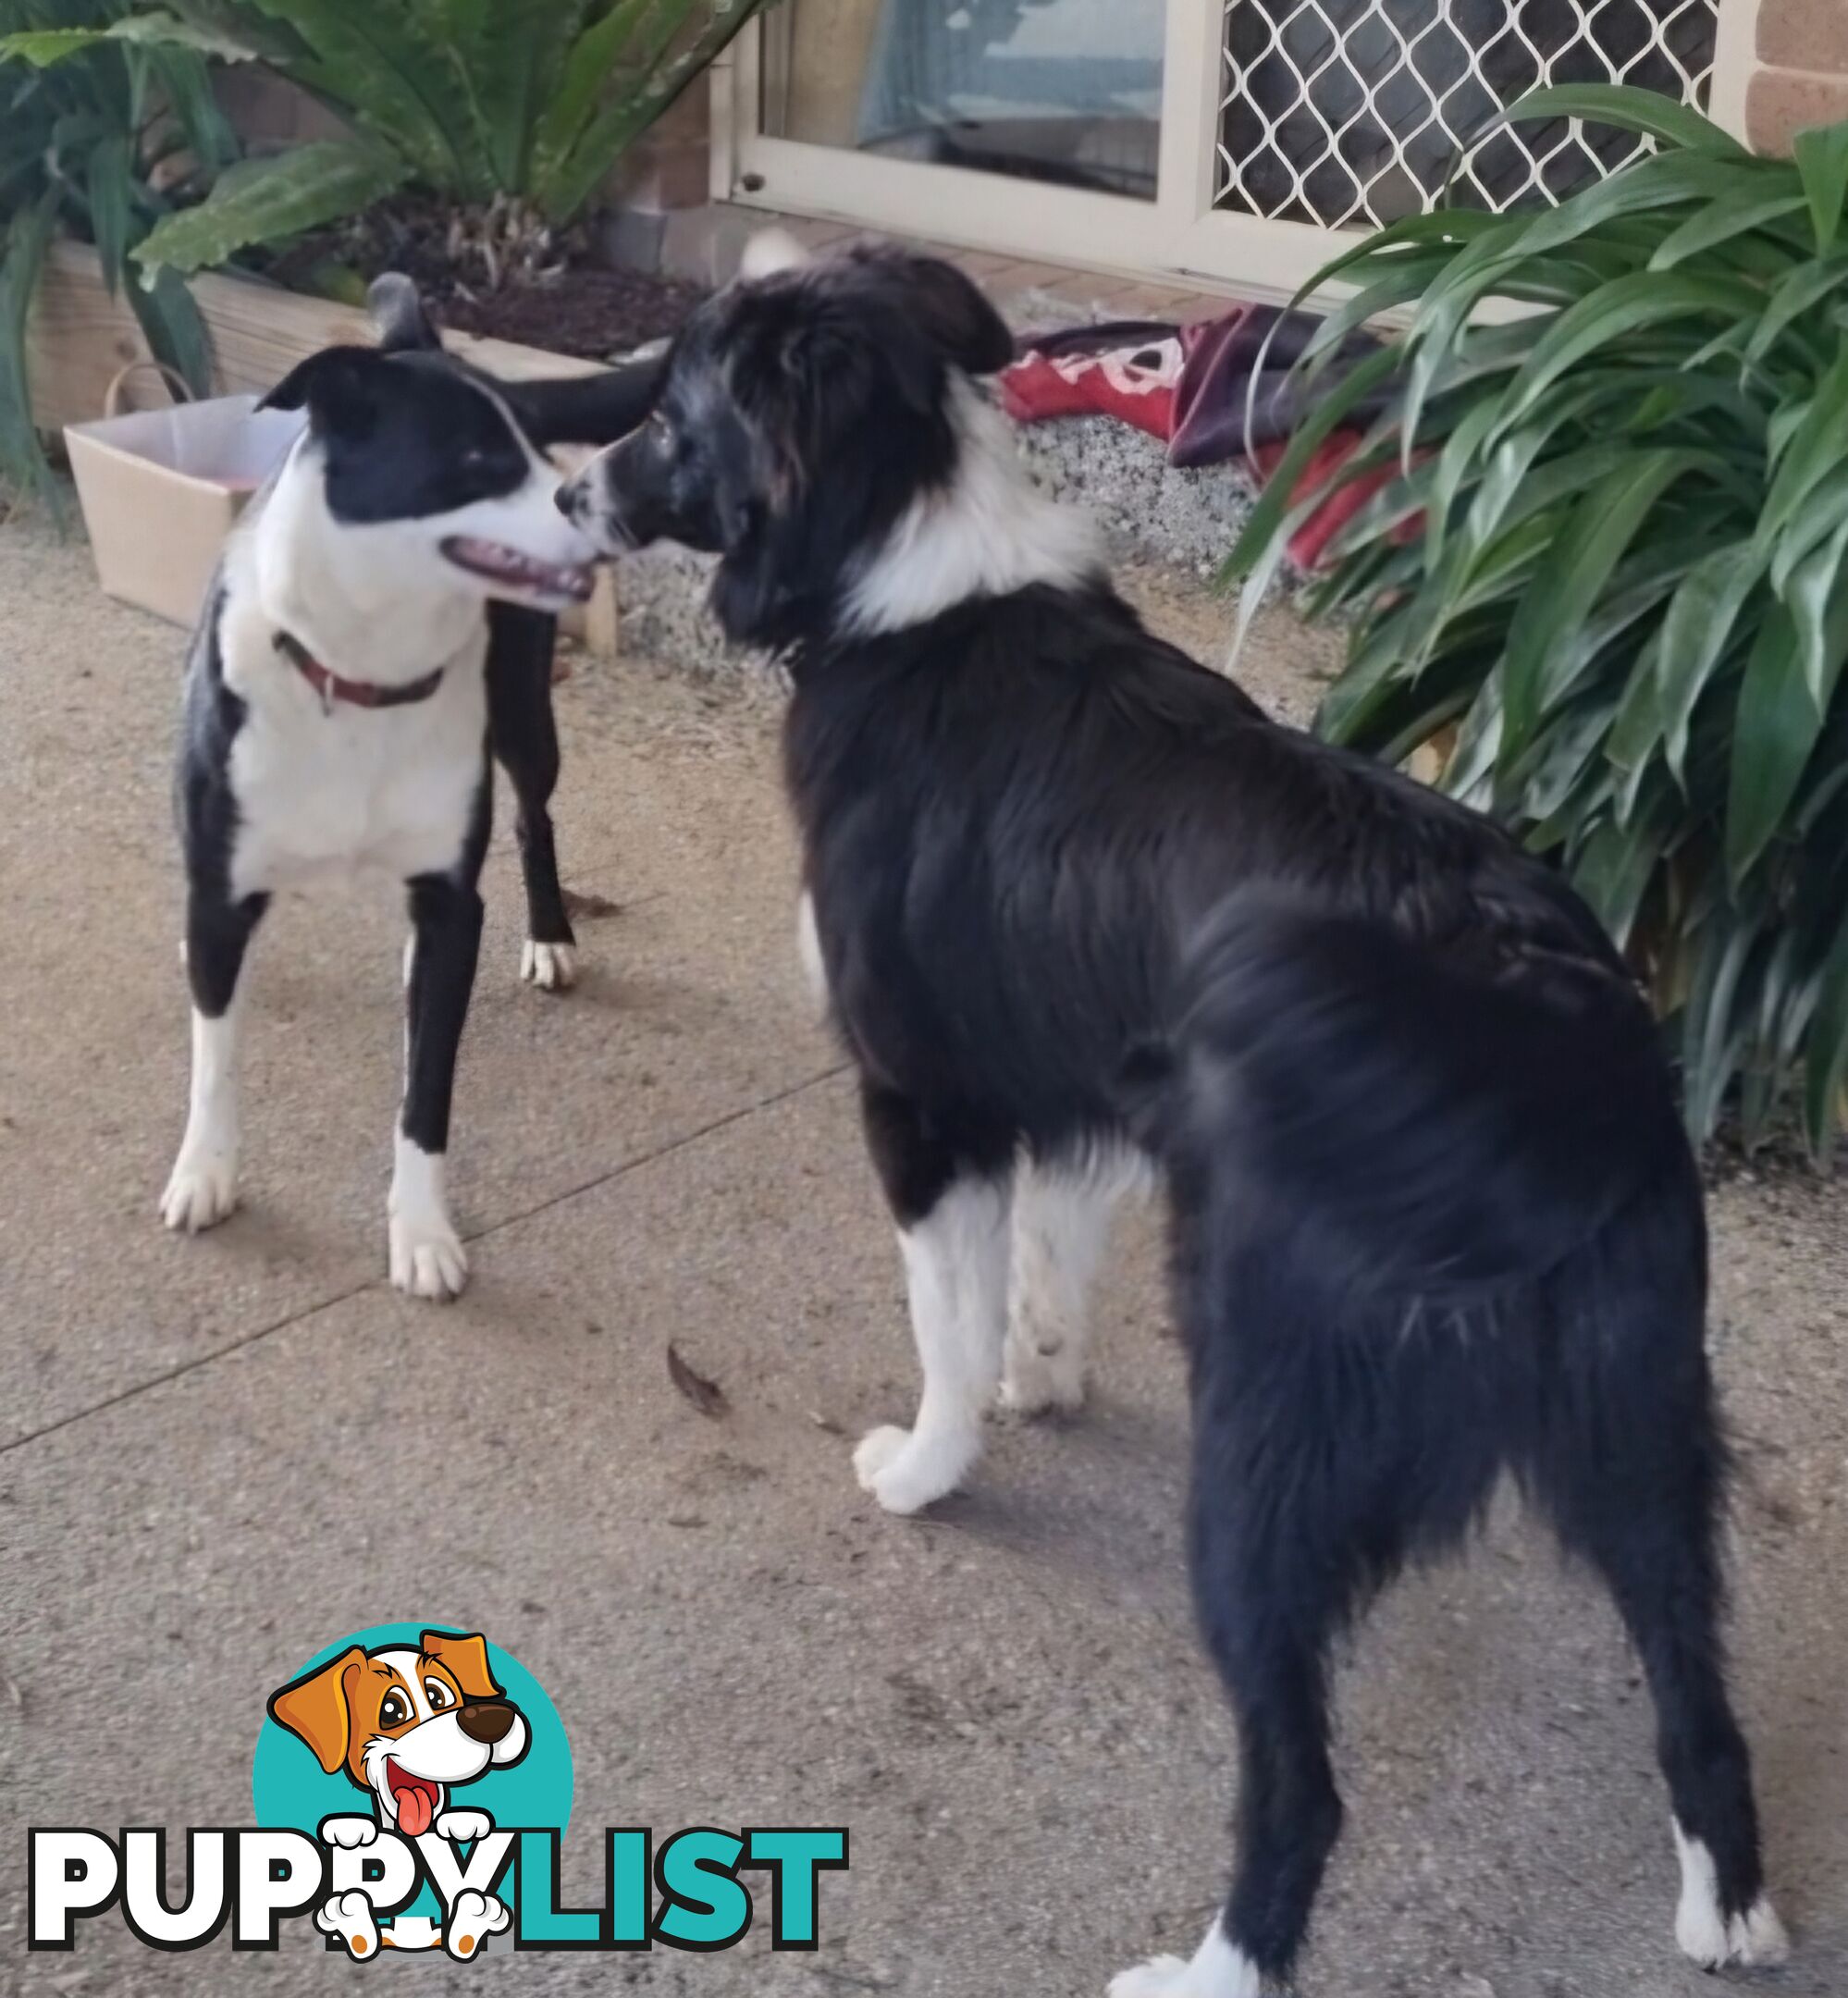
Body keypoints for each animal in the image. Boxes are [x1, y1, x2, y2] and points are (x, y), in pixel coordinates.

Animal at [161, 281, 655, 1302]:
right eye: (474, 459)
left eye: (536, 443)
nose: (593, 512)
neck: (360, 675)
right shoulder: (219, 892)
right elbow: (214, 1057)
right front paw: (206, 1171)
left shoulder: (448, 898)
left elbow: (426, 1090)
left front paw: (420, 1232)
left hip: (526, 723)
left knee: (536, 819)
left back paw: (549, 934)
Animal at [555, 250, 1781, 1998]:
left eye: (668, 413)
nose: (566, 486)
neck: (904, 568)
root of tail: (1546, 1042)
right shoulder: (1081, 1090)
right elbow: (1042, 1265)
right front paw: (1044, 1379)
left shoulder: (919, 1100)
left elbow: (940, 1319)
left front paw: (931, 1462)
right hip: (1641, 1422)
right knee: (1694, 1687)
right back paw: (1724, 1908)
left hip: (1266, 1435)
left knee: (1301, 1777)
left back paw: (1212, 1963)